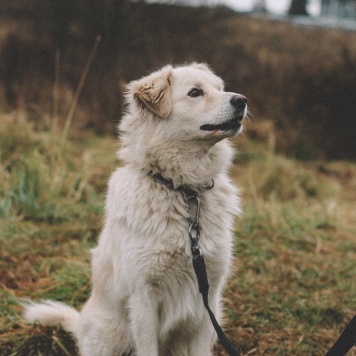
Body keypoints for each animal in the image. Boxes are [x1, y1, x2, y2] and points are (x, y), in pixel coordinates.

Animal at [23, 64, 248, 356]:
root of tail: (81, 323)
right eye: (195, 92)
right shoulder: (144, 299)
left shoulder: (208, 296)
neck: (182, 190)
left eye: (220, 89)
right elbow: (148, 347)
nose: (242, 100)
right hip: (110, 334)